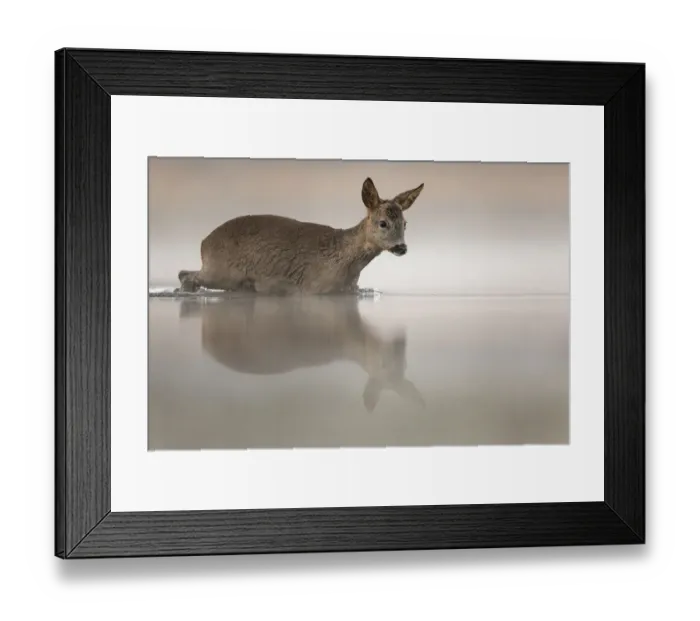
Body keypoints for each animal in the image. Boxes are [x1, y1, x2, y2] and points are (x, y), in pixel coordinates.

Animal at [177, 177, 425, 295]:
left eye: (405, 224)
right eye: (383, 223)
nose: (401, 247)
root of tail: (204, 243)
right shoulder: (312, 289)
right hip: (221, 272)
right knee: (186, 275)